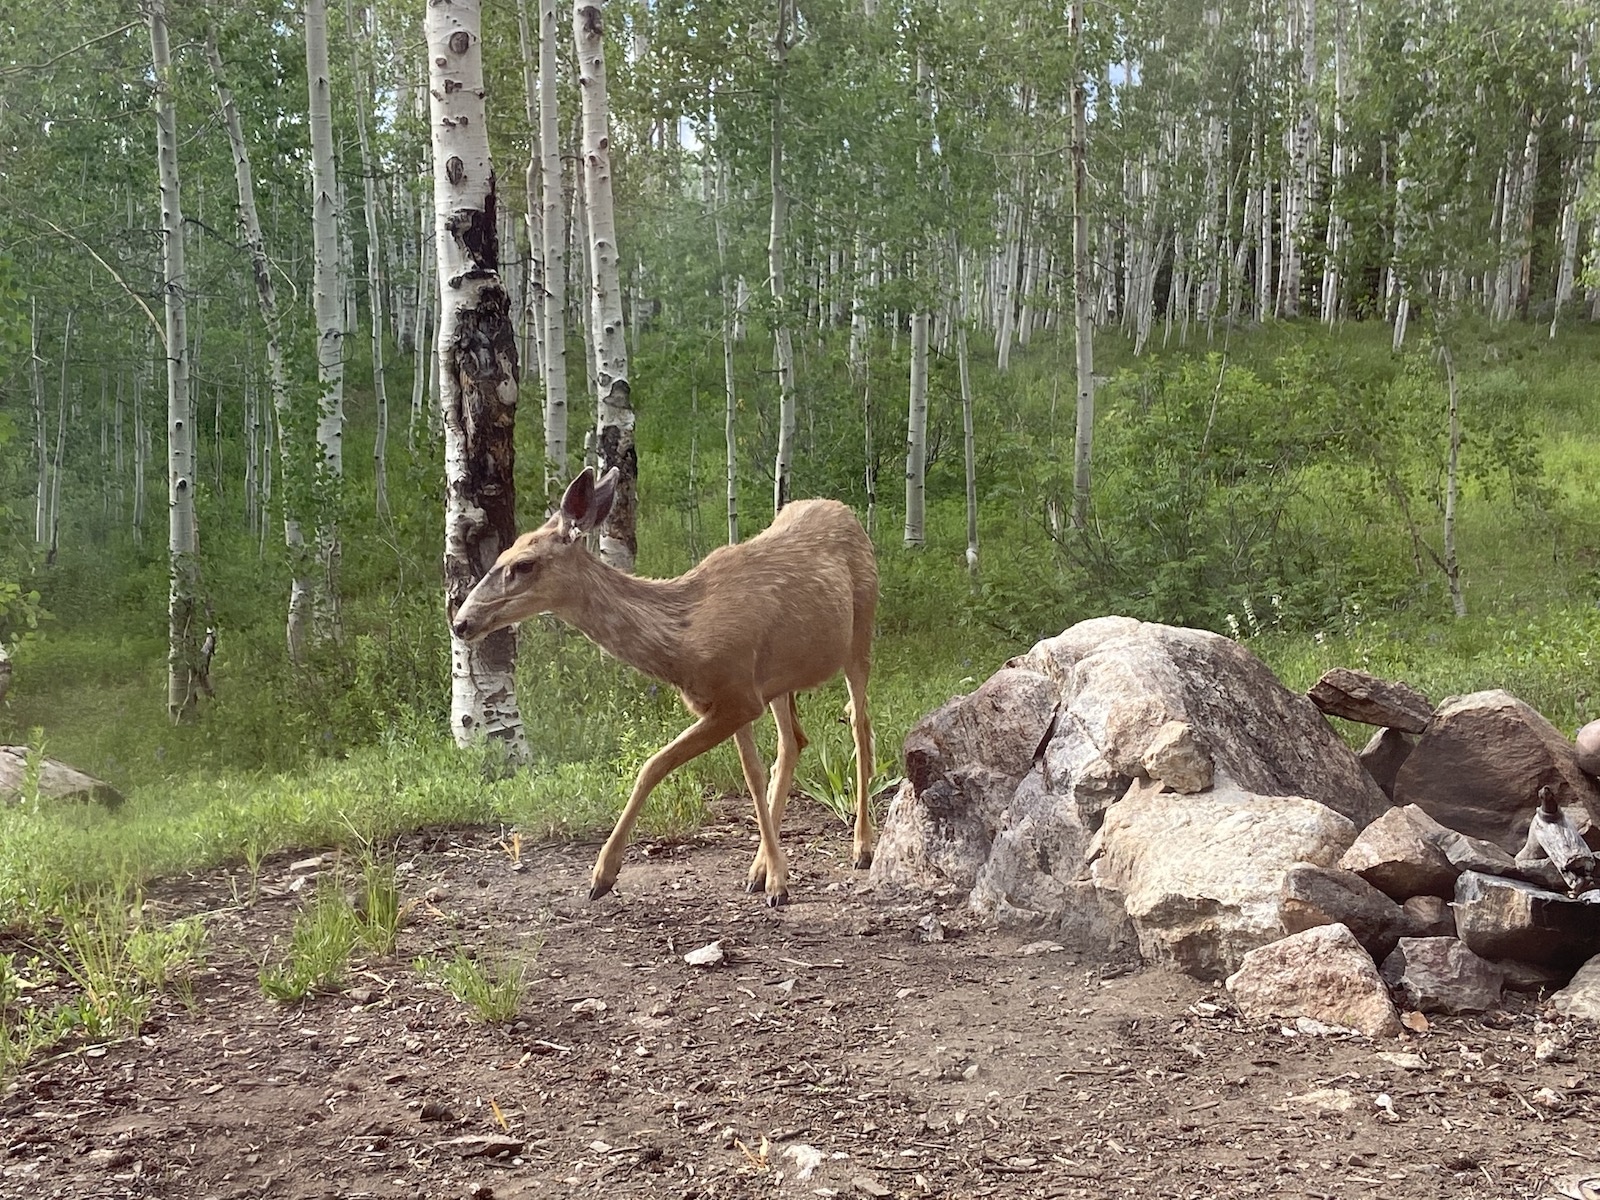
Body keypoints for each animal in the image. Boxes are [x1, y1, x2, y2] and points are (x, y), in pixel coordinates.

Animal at [448, 464, 876, 908]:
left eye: (524, 564)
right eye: (500, 556)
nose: (461, 622)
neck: (682, 639)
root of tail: (845, 510)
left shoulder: (737, 697)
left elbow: (653, 765)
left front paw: (604, 874)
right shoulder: (735, 698)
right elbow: (753, 777)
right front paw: (770, 873)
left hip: (861, 630)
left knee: (860, 725)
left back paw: (862, 847)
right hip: (780, 680)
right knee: (793, 742)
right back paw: (762, 866)